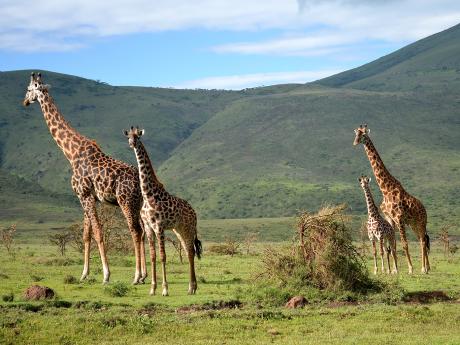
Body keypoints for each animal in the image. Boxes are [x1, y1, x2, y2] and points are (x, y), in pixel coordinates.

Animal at [22, 72, 146, 282]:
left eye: (29, 89)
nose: (24, 102)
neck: (71, 153)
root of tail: (140, 181)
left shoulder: (85, 195)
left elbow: (97, 231)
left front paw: (106, 275)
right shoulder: (87, 197)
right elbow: (86, 235)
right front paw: (84, 274)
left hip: (126, 201)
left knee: (135, 231)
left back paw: (137, 276)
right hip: (137, 203)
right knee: (144, 231)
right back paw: (145, 275)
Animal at [124, 126, 201, 296]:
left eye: (137, 137)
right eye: (128, 137)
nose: (131, 144)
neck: (148, 194)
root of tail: (194, 213)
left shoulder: (159, 226)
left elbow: (162, 256)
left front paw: (165, 289)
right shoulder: (148, 227)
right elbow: (153, 256)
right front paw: (152, 288)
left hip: (188, 228)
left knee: (190, 252)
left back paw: (192, 287)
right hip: (178, 229)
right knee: (188, 251)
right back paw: (191, 287)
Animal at [352, 123, 432, 272]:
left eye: (363, 135)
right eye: (356, 134)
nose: (355, 142)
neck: (385, 189)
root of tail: (424, 208)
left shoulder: (399, 218)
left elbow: (404, 244)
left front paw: (410, 269)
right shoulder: (390, 219)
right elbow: (392, 245)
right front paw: (394, 270)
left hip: (421, 222)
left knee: (423, 241)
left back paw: (423, 269)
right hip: (413, 224)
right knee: (421, 240)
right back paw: (426, 268)